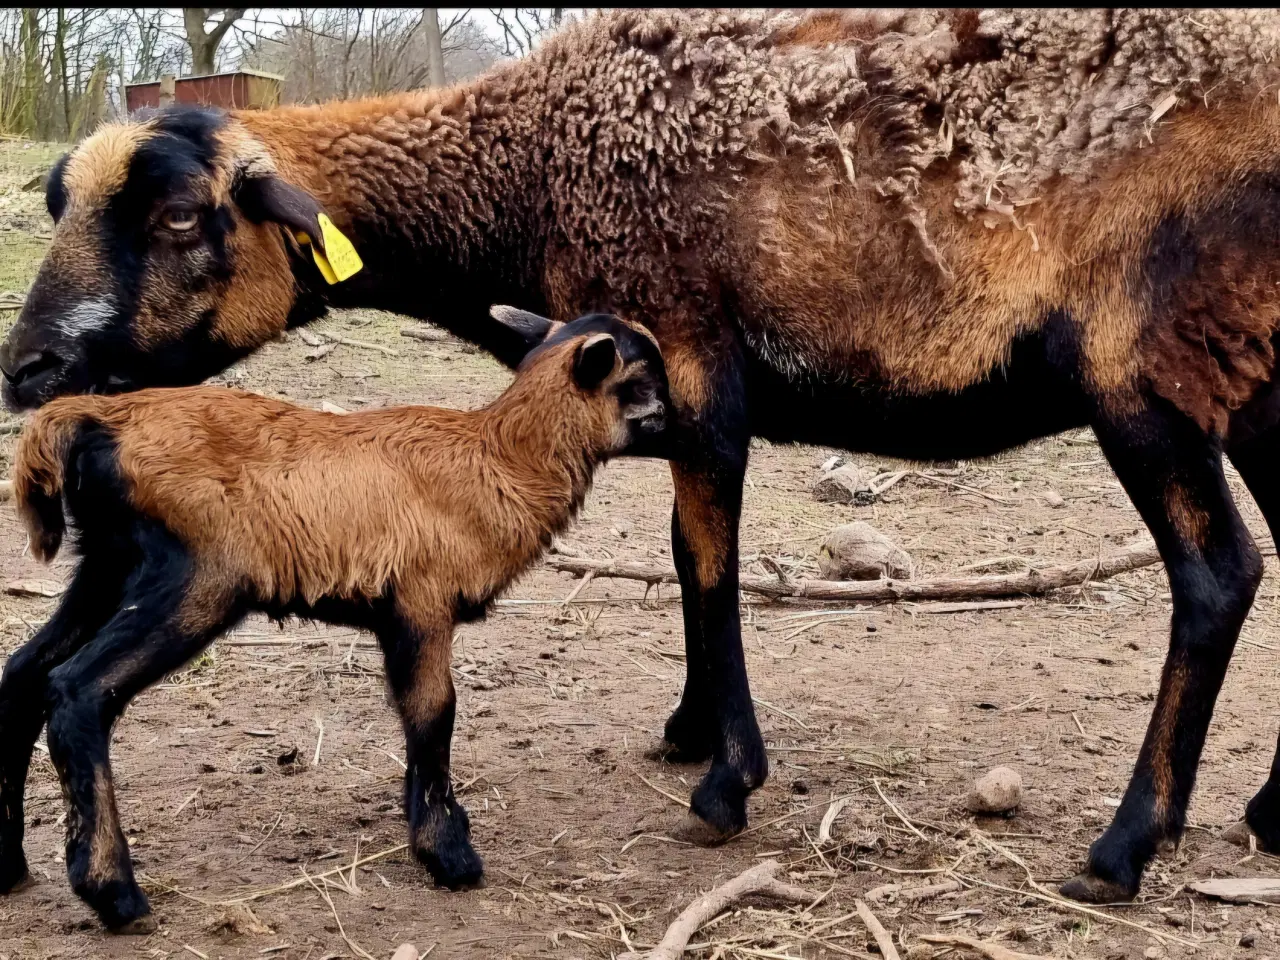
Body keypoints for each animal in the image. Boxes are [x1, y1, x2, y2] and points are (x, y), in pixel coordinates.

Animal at [0, 11, 1280, 906]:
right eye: (59, 201)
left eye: (179, 218)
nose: (26, 371)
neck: (519, 168)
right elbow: (680, 553)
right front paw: (688, 732)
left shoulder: (693, 361)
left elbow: (706, 565)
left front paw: (724, 783)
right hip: (1255, 368)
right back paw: (1266, 810)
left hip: (1146, 365)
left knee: (1216, 577)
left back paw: (1121, 847)